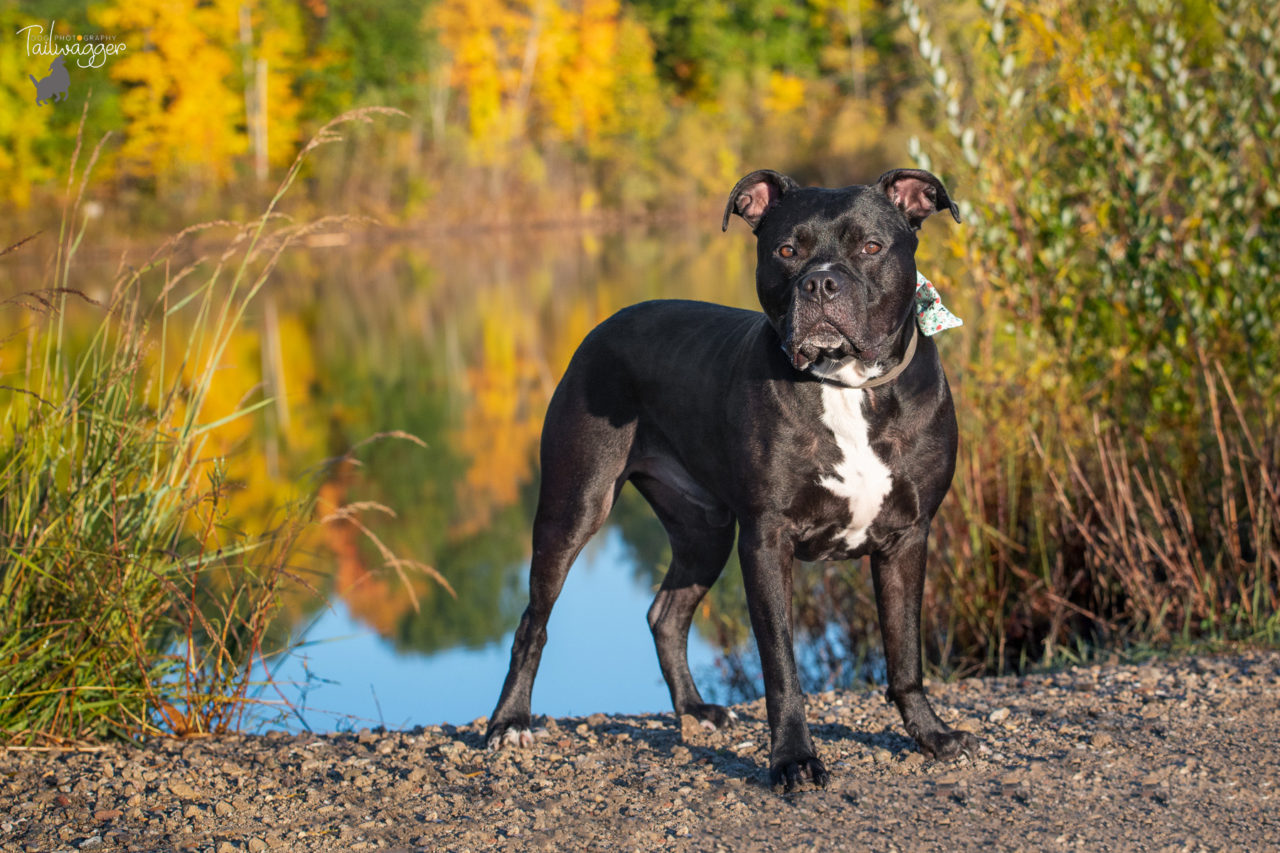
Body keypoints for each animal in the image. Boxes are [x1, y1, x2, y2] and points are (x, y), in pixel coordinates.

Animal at [483, 167, 972, 788]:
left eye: (870, 247)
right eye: (786, 251)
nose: (821, 285)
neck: (848, 386)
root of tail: (605, 325)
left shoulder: (907, 538)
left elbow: (905, 650)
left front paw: (930, 735)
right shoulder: (766, 540)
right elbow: (781, 665)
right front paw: (793, 758)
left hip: (704, 531)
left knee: (666, 616)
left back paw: (694, 710)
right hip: (574, 508)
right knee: (533, 621)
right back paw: (509, 722)